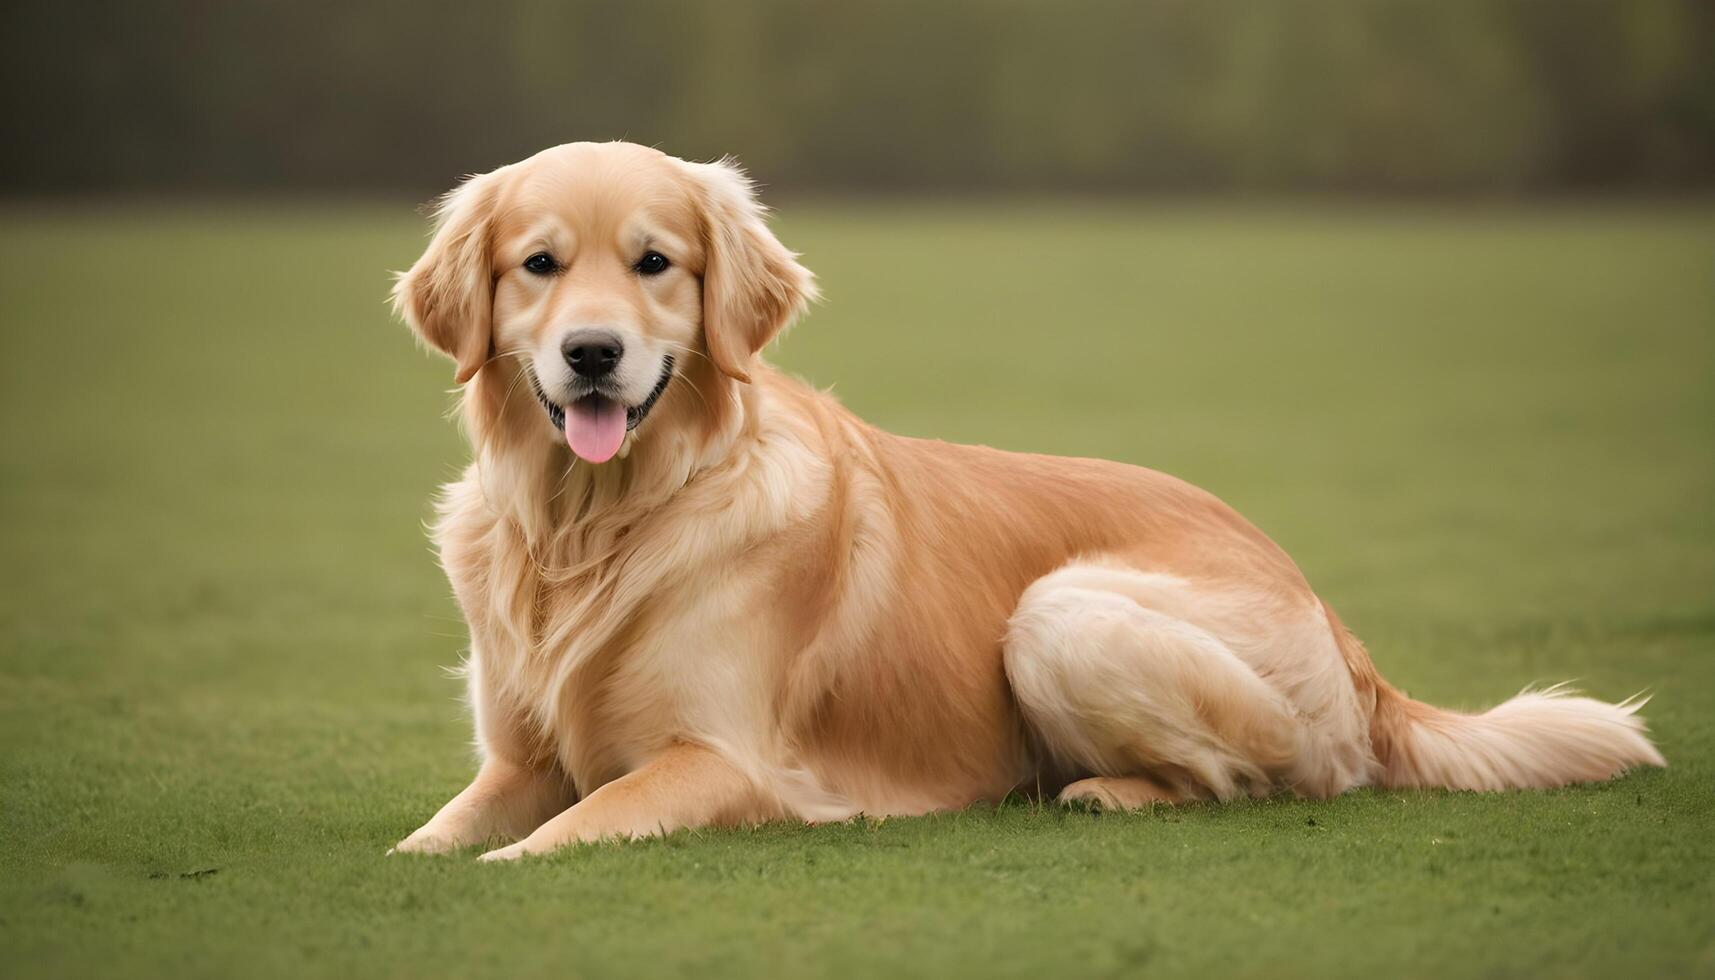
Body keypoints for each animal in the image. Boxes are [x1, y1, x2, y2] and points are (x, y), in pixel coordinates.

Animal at [389, 141, 1660, 861]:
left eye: (655, 263)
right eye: (539, 265)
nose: (593, 355)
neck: (595, 522)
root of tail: (1345, 637)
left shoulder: (727, 761)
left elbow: (559, 836)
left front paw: (509, 868)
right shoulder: (515, 761)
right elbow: (433, 836)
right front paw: (429, 852)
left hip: (1058, 612)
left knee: (1263, 777)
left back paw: (1100, 790)